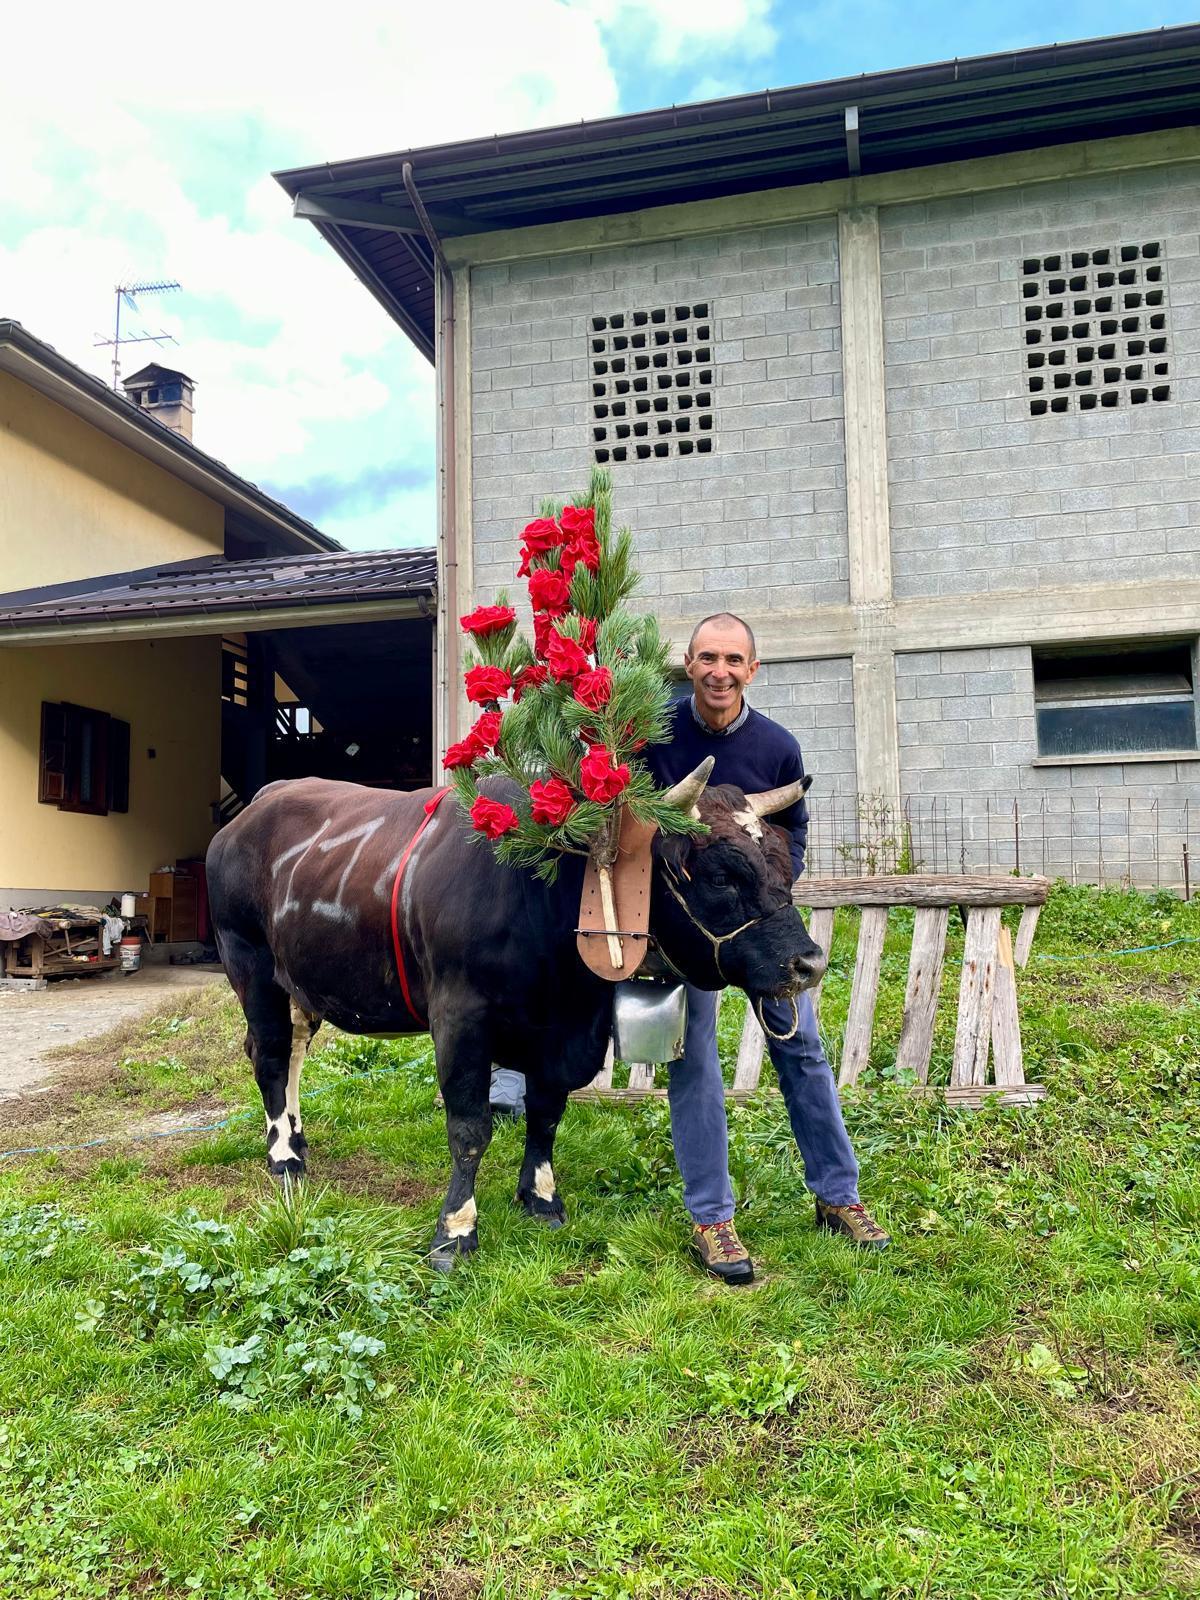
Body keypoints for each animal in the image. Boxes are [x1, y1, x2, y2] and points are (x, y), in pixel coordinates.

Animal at [206, 755, 825, 1267]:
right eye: (722, 875)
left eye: (783, 865)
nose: (810, 962)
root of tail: (263, 801)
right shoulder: (460, 1018)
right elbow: (469, 1127)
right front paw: (456, 1230)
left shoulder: (565, 1031)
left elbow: (546, 1113)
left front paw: (541, 1198)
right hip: (250, 963)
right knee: (269, 1053)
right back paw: (284, 1156)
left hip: (301, 981)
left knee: (293, 1050)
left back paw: (296, 1135)